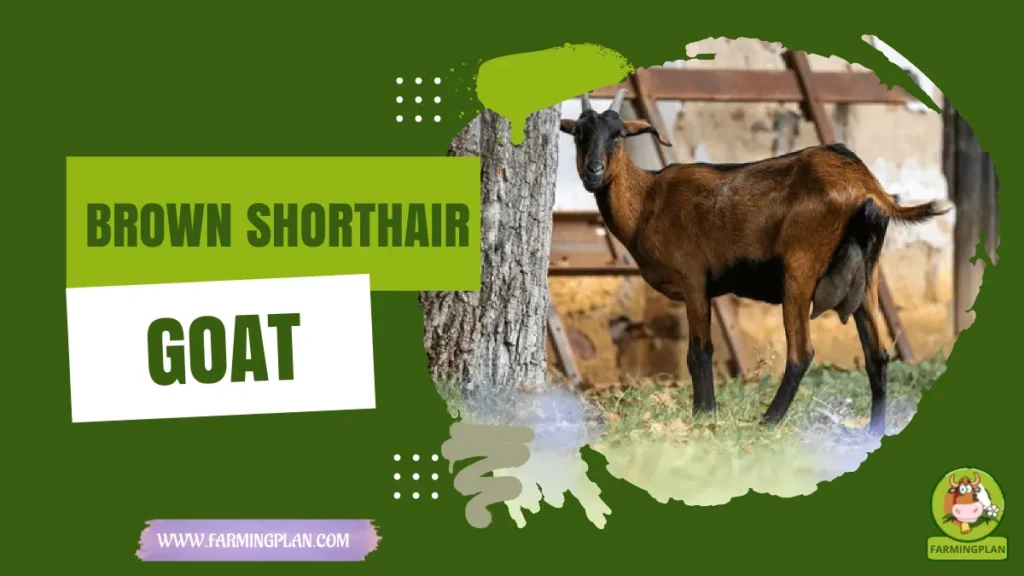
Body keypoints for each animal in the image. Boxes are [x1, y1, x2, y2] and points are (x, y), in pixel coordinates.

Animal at [558, 89, 950, 436]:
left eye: (619, 134)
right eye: (578, 133)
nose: (593, 172)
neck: (647, 201)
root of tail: (869, 187)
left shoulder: (693, 279)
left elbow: (698, 352)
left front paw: (704, 418)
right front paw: (707, 415)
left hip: (800, 270)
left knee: (801, 352)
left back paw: (768, 422)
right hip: (867, 277)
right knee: (877, 355)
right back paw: (873, 431)